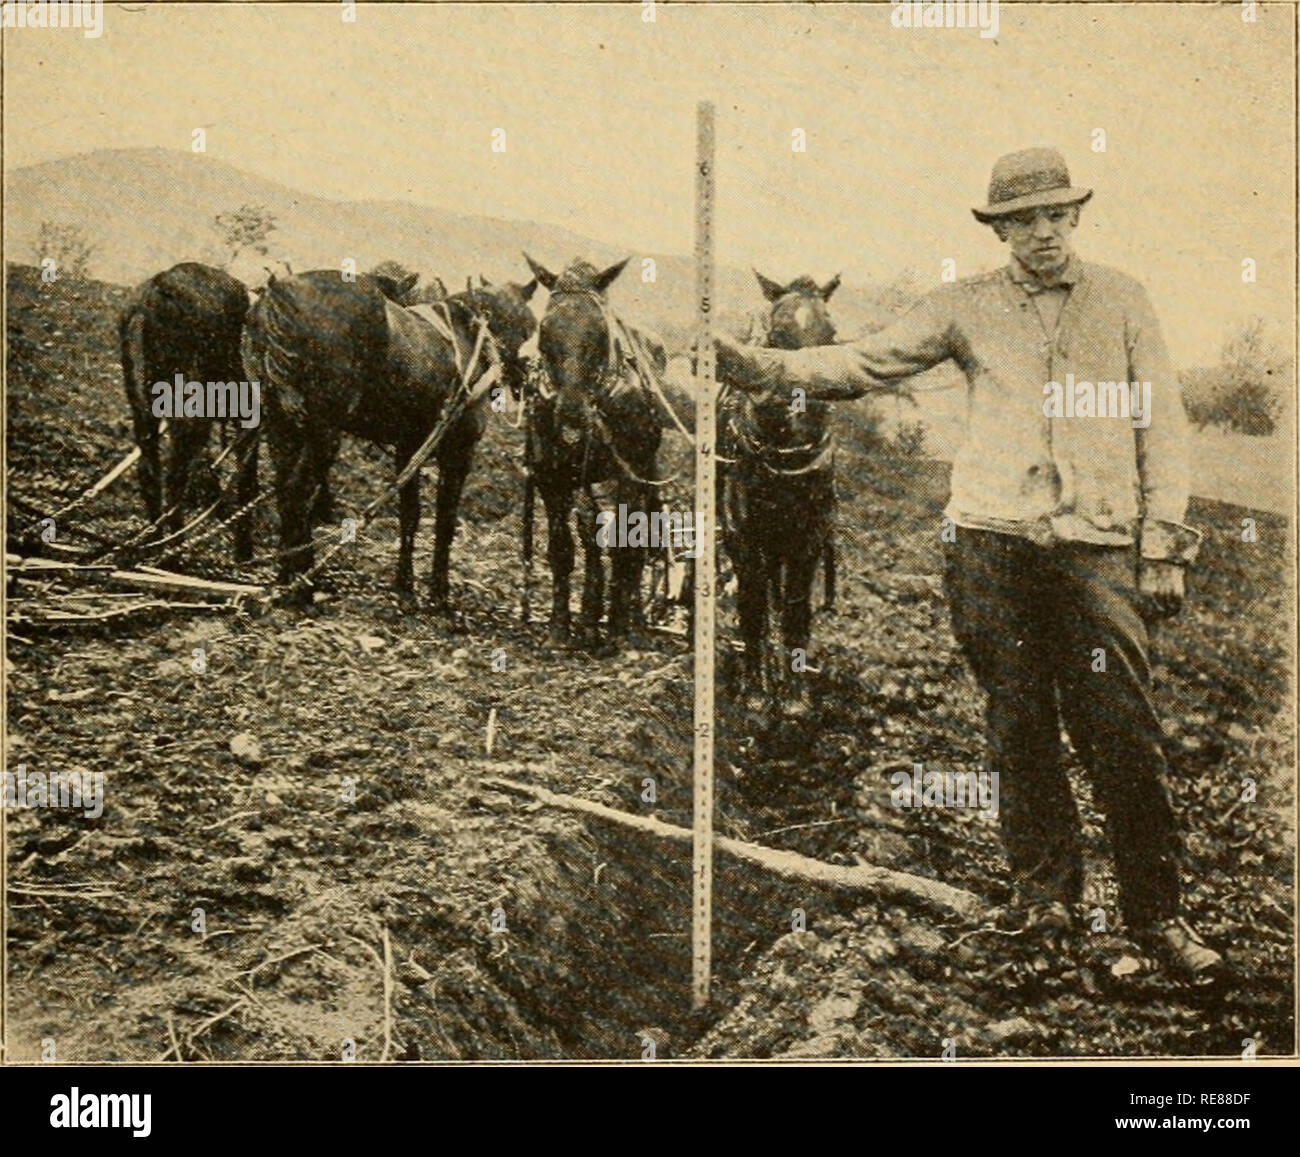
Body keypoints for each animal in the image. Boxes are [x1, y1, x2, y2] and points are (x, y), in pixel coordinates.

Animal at [245, 269, 535, 603]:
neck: (473, 335)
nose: (525, 376)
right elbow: (445, 521)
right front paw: (439, 593)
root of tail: (276, 294)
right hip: (321, 432)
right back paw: (301, 583)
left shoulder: (409, 447)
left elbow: (410, 514)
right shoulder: (459, 451)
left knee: (284, 489)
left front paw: (405, 584)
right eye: (530, 324)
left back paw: (287, 574)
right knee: (298, 491)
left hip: (280, 424)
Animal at [520, 252, 665, 644]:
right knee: (590, 534)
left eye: (598, 330)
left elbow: (625, 545)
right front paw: (560, 626)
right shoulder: (551, 477)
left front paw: (616, 630)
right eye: (545, 330)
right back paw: (589, 614)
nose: (572, 413)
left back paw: (631, 618)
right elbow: (563, 549)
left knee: (637, 539)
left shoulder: (628, 474)